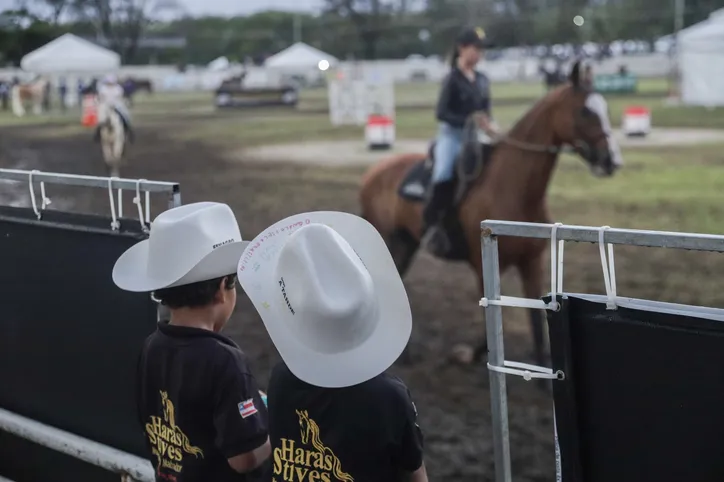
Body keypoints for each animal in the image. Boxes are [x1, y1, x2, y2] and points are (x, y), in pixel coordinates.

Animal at [360, 61, 620, 370]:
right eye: (585, 111)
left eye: (604, 107)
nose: (612, 160)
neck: (511, 188)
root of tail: (372, 174)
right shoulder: (481, 265)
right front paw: (470, 353)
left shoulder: (532, 263)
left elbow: (536, 322)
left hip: (405, 242)